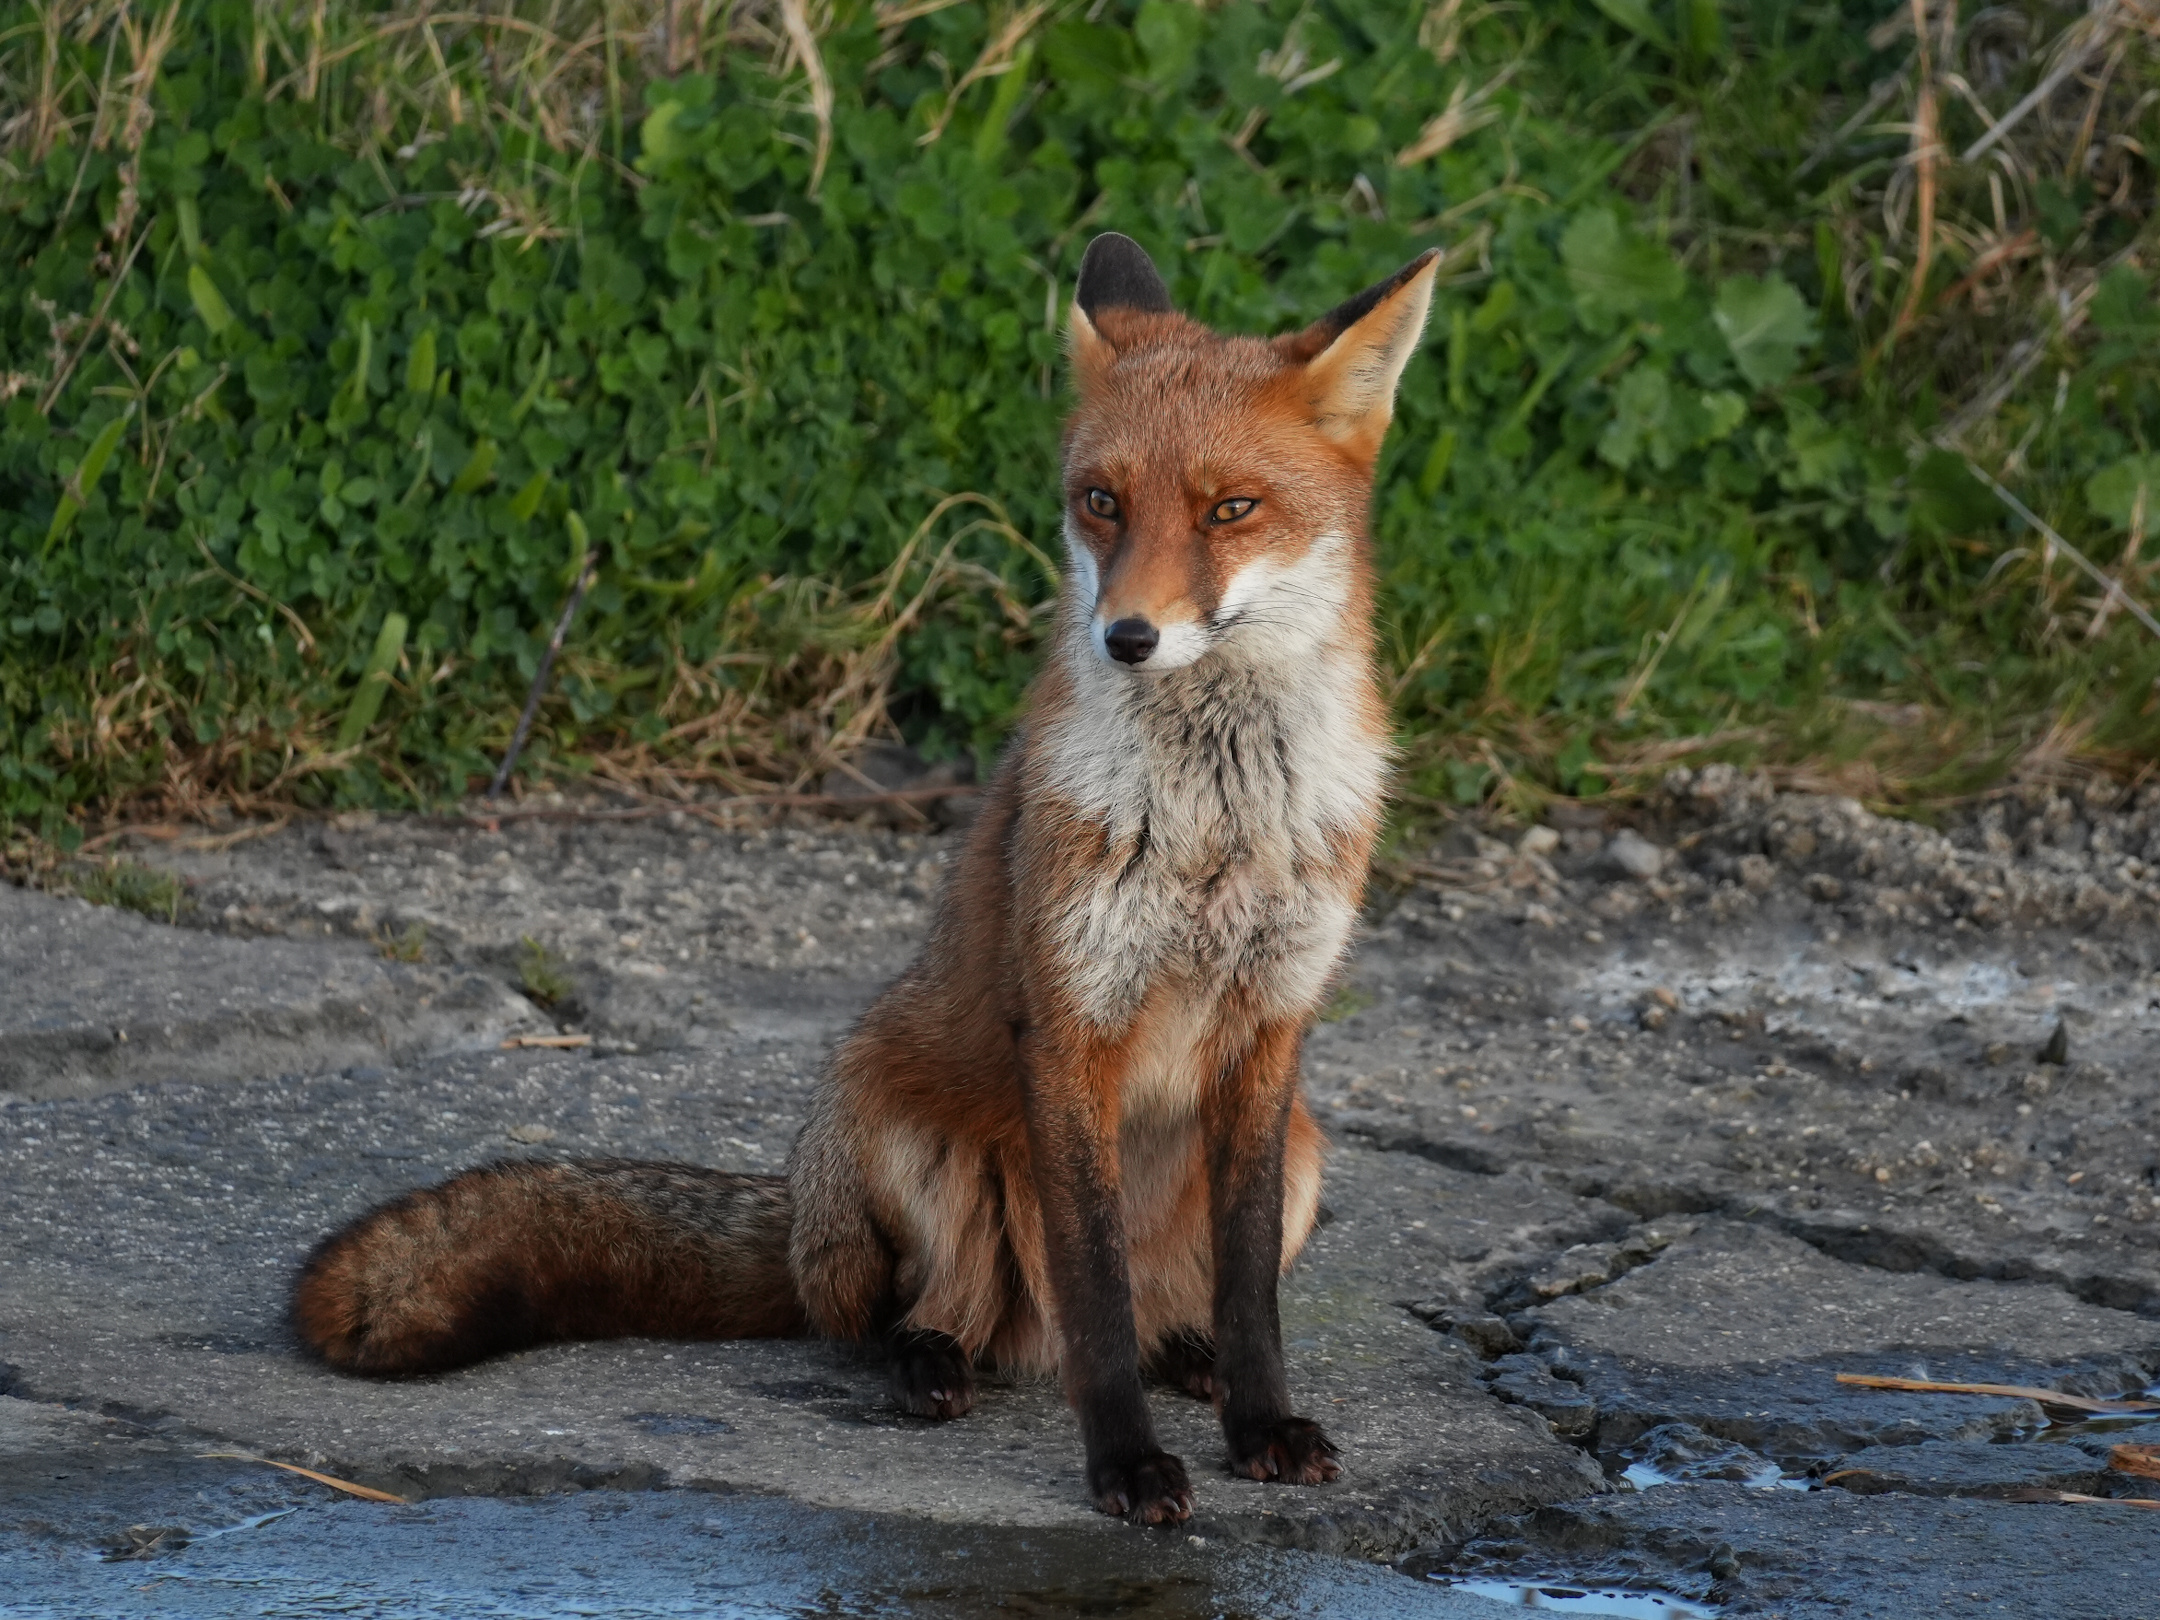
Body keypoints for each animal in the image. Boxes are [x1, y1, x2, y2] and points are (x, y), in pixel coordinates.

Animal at [291, 234, 1434, 1529]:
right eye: (1102, 502)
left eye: (1231, 509)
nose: (1127, 636)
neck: (1213, 828)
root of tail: (800, 1211)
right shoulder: (1070, 1025)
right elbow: (1093, 1295)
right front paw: (1126, 1467)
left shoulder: (1271, 1030)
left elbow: (1248, 1296)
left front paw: (1260, 1423)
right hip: (915, 1147)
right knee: (904, 1320)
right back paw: (928, 1366)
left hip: (1308, 1155)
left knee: (1153, 1319)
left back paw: (1183, 1354)